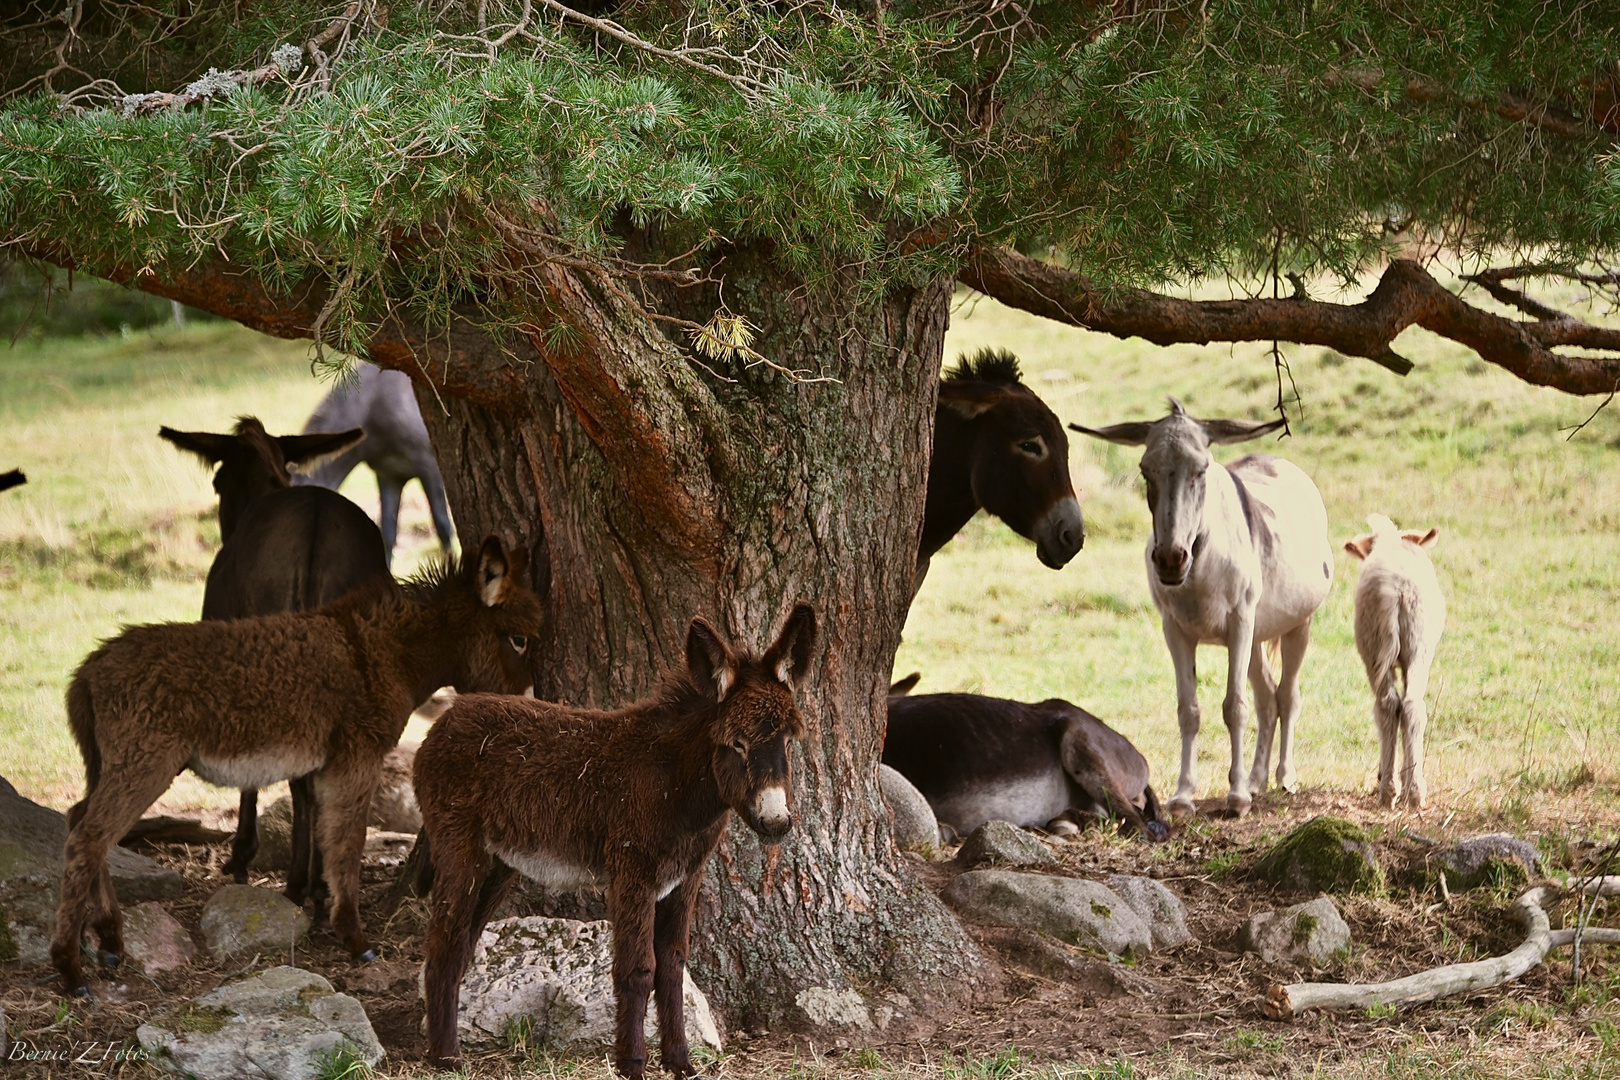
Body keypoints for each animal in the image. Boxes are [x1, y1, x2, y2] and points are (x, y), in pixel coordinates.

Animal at [55, 534, 544, 997]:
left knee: (80, 819)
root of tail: (89, 670)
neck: (382, 655)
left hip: (115, 762)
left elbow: (323, 836)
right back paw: (70, 970)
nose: (529, 710)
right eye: (518, 640)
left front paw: (322, 912)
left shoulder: (324, 768)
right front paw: (355, 938)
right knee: (89, 837)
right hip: (147, 760)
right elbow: (347, 843)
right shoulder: (357, 757)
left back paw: (110, 941)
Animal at [417, 605, 822, 1075]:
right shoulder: (633, 874)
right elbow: (638, 970)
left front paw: (680, 1062)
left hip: (499, 864)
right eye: (736, 744)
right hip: (460, 848)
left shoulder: (686, 878)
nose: (776, 823)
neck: (677, 785)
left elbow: (673, 967)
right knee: (443, 944)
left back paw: (443, 1047)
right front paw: (632, 1064)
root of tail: (446, 719)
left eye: (788, 742)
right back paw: (446, 1057)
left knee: (462, 943)